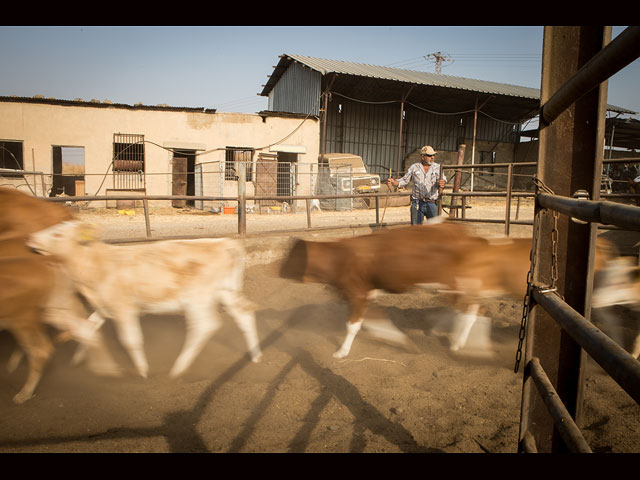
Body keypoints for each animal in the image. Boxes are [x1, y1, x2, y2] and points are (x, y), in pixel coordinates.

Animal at [27, 220, 262, 378]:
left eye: (58, 234)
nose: (30, 238)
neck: (98, 264)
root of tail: (223, 243)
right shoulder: (105, 305)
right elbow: (90, 326)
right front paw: (80, 358)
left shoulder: (124, 308)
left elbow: (130, 339)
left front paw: (142, 371)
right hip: (226, 292)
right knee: (244, 313)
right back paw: (255, 355)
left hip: (198, 299)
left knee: (205, 326)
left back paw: (178, 368)